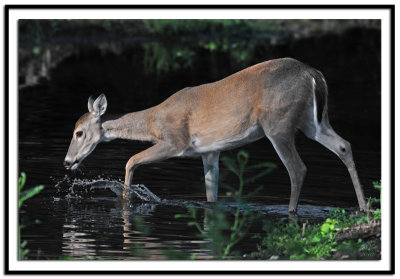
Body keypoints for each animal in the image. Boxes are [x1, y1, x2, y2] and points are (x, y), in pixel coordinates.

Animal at [64, 58, 368, 213]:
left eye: (79, 132)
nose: (67, 162)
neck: (153, 121)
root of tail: (314, 74)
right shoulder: (210, 152)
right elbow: (211, 195)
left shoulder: (175, 141)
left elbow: (130, 161)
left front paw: (127, 199)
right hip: (312, 121)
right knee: (343, 145)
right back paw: (364, 207)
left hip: (278, 124)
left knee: (298, 168)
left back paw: (292, 212)